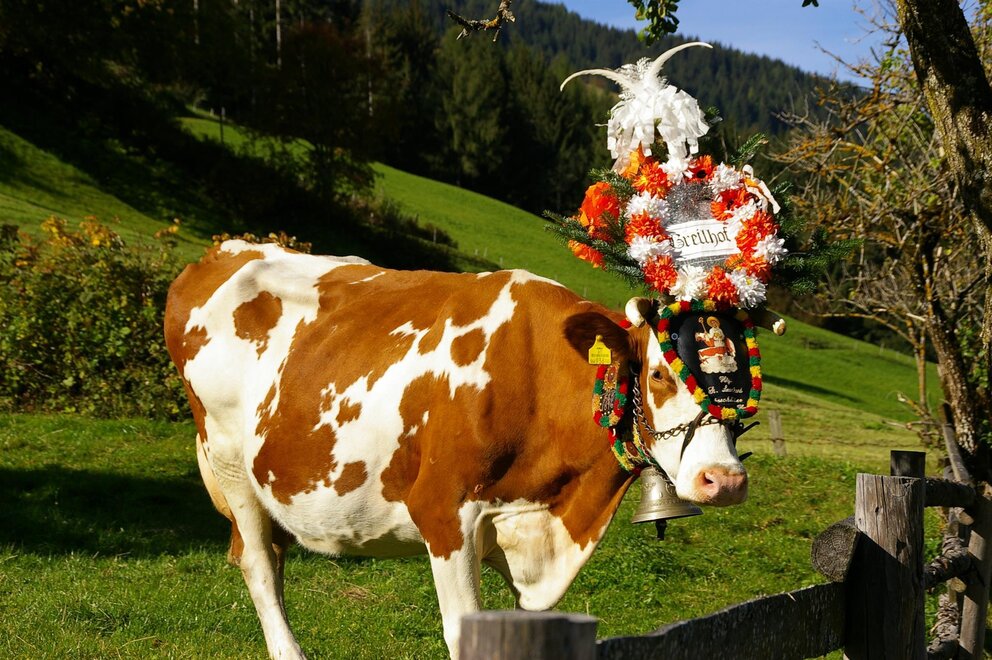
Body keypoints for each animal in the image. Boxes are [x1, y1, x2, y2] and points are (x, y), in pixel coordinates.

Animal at [164, 240, 757, 659]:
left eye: (748, 386)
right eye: (659, 374)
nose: (724, 480)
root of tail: (224, 251)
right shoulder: (444, 512)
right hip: (229, 462)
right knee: (260, 565)